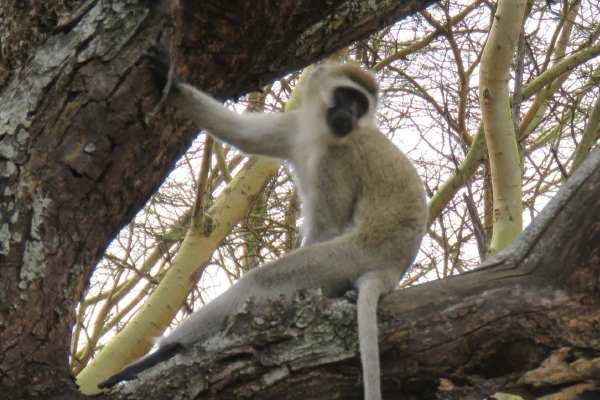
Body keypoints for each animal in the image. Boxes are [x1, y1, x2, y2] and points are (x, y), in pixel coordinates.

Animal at [98, 48, 426, 400]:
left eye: (360, 105)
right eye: (346, 96)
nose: (350, 114)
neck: (321, 135)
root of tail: (391, 271)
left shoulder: (337, 161)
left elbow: (327, 228)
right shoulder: (295, 125)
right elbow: (243, 133)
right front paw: (173, 84)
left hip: (351, 256)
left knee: (263, 280)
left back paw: (164, 354)